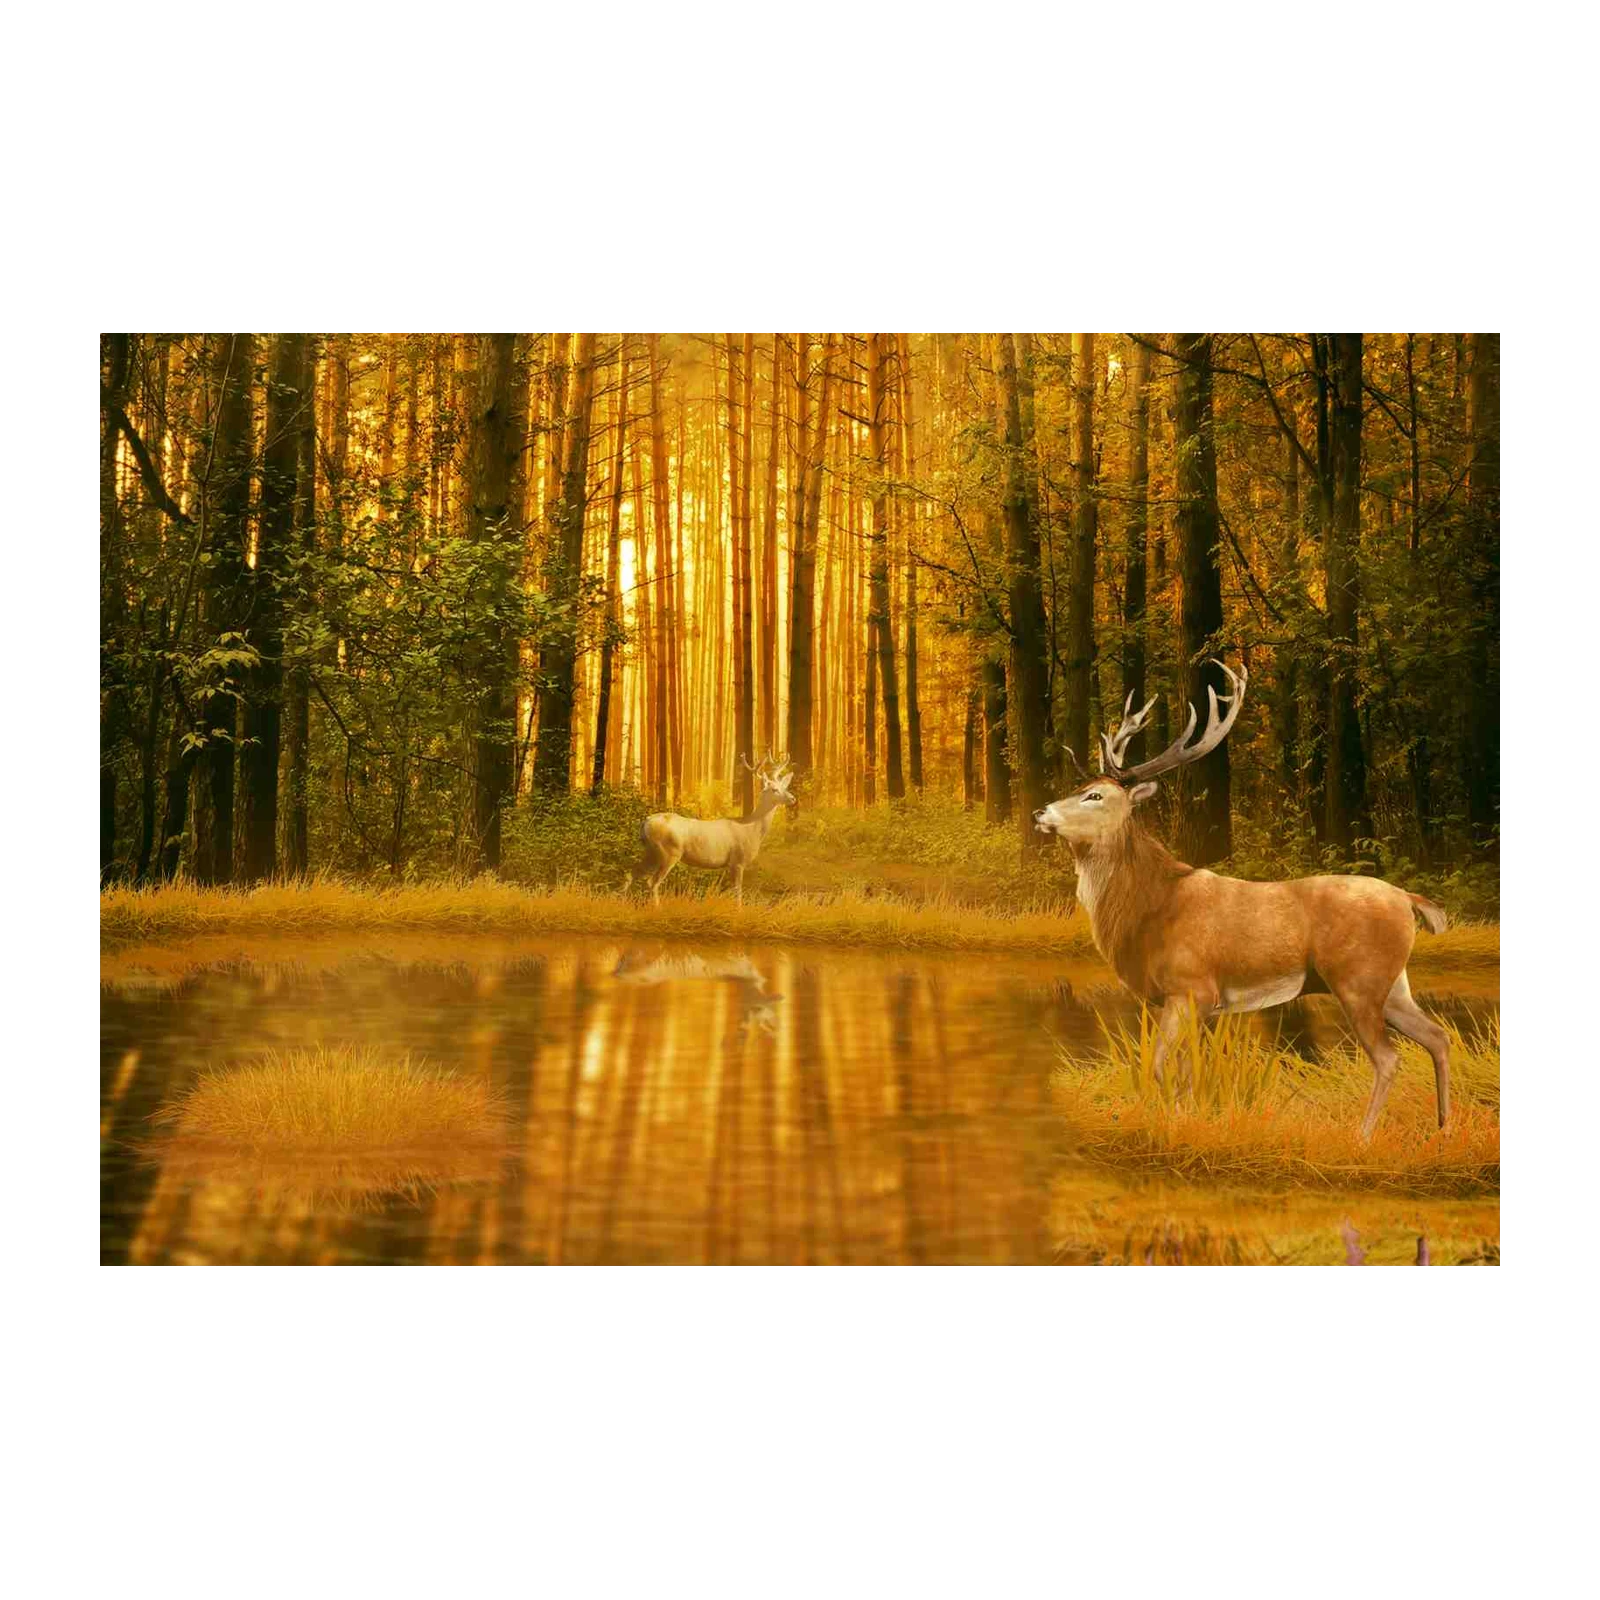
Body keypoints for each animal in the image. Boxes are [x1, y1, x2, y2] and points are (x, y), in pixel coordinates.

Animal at [636, 752, 797, 907]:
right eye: (774, 789)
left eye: (785, 787)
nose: (793, 799)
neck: (751, 829)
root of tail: (646, 822)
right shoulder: (738, 861)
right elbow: (738, 892)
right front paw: (738, 911)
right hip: (669, 852)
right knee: (652, 881)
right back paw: (657, 908)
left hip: (651, 852)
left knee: (635, 875)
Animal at [1033, 660, 1452, 1142]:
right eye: (1081, 786)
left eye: (1095, 795)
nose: (1039, 812)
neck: (1149, 908)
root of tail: (1407, 899)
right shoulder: (1195, 1003)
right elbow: (1185, 1069)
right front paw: (1188, 1119)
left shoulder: (1191, 986)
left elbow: (1160, 1065)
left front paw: (1173, 1124)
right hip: (1394, 983)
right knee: (1438, 1036)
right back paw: (1444, 1128)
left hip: (1358, 978)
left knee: (1389, 1057)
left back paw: (1362, 1137)